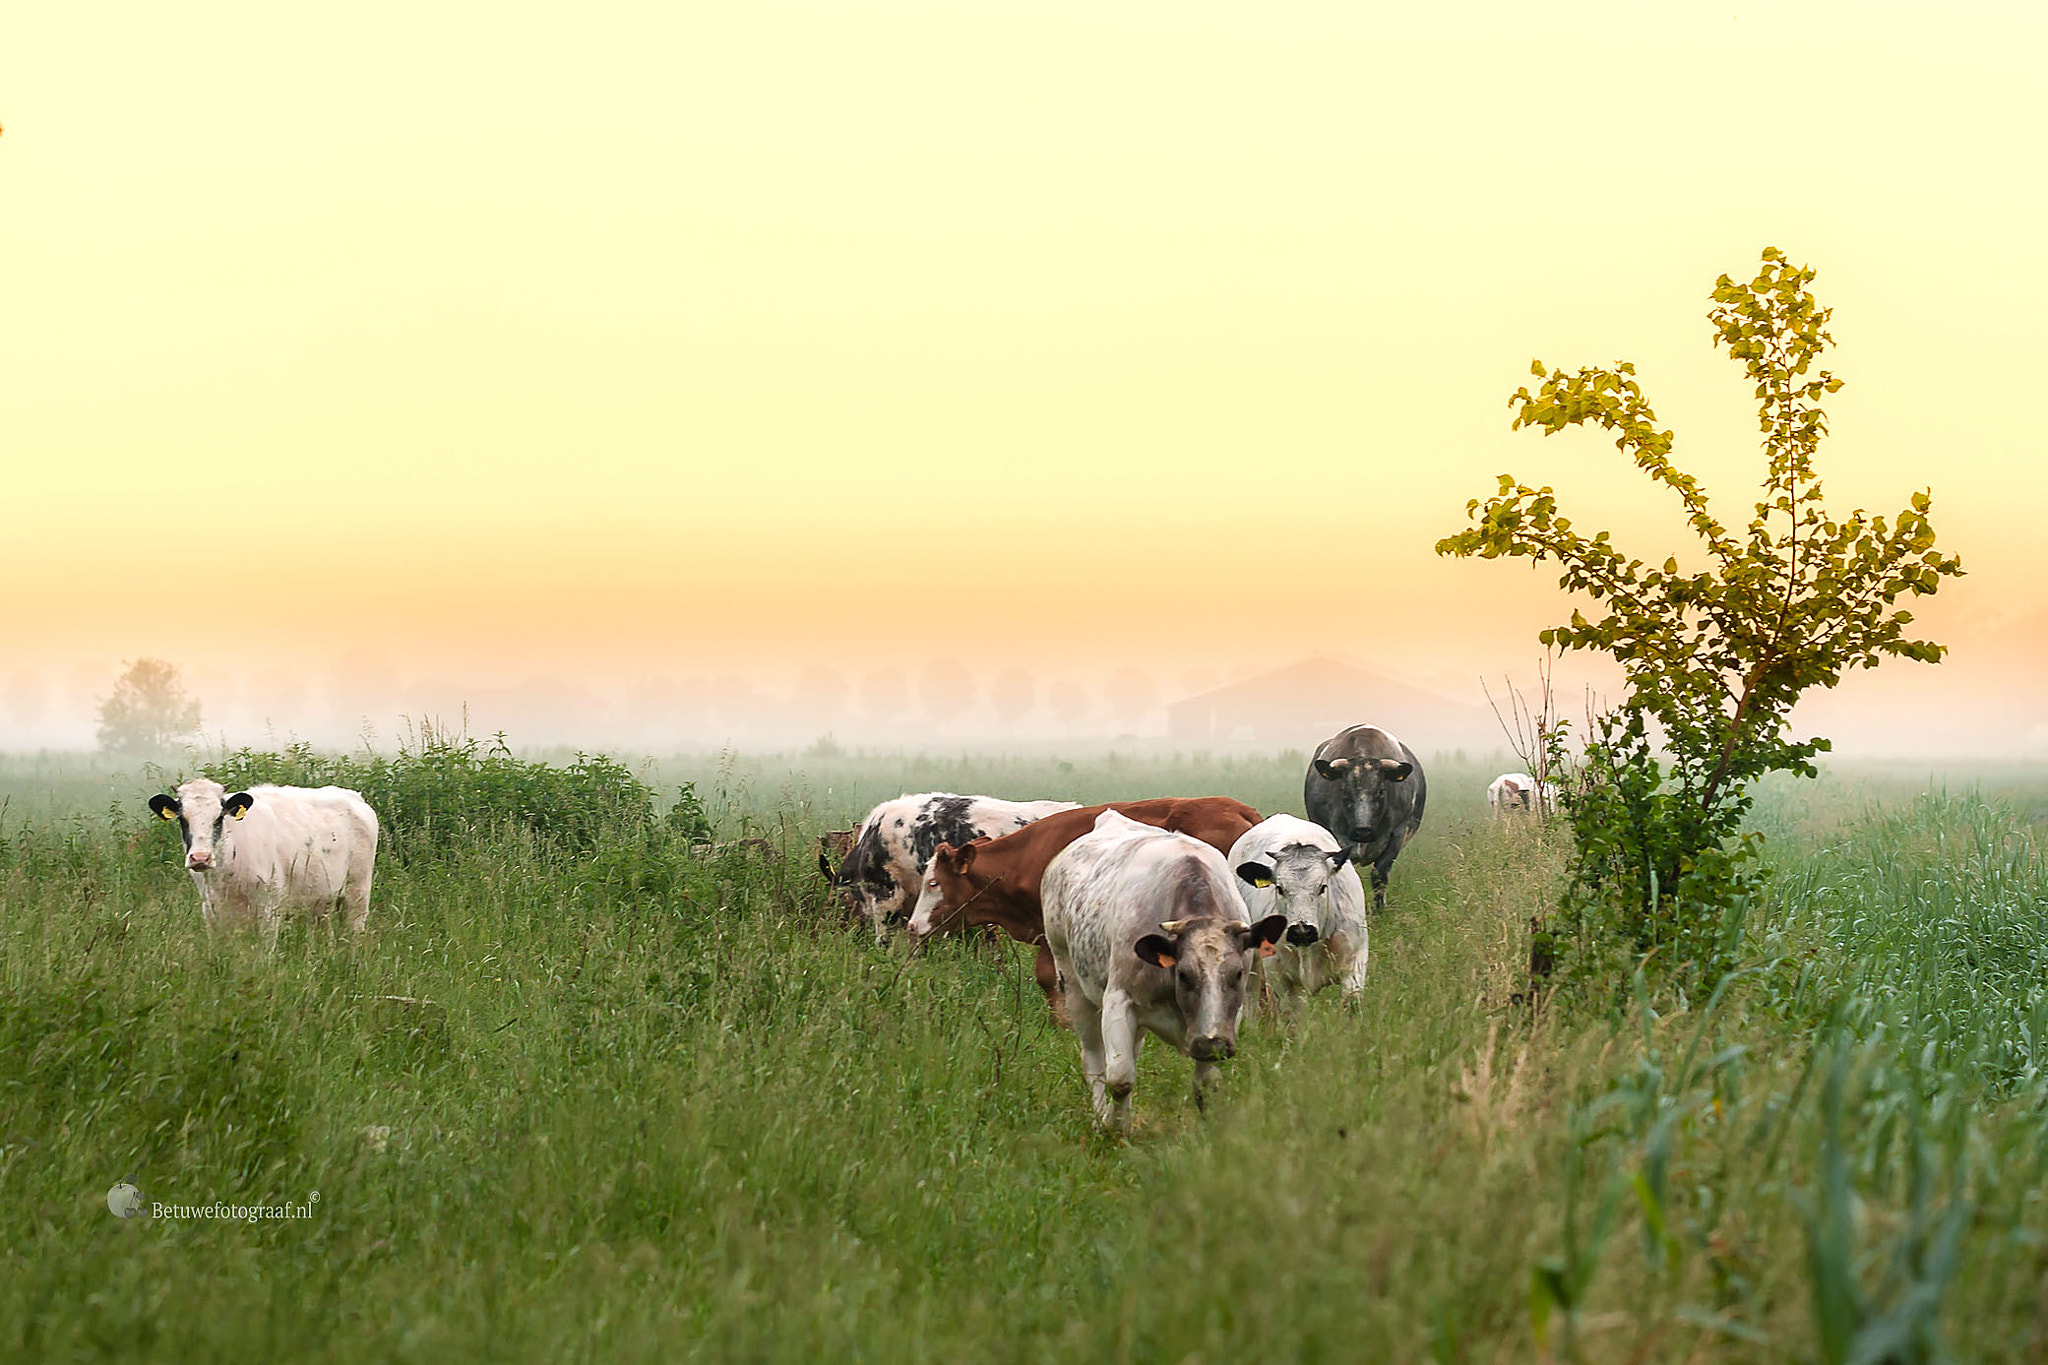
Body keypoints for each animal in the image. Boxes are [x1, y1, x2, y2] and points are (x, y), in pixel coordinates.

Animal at [151, 777, 380, 941]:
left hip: (358, 892)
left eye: (219, 818)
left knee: (354, 935)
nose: (200, 858)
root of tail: (353, 795)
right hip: (321, 899)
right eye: (183, 819)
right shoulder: (210, 909)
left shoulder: (269, 908)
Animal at [1040, 810, 1277, 1129]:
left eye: (1238, 973)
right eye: (1183, 974)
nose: (1212, 1044)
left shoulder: (1224, 1020)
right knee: (1094, 1059)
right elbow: (1120, 1078)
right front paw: (1114, 1127)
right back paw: (1101, 1117)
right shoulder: (1119, 999)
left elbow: (1205, 1085)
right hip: (1073, 984)